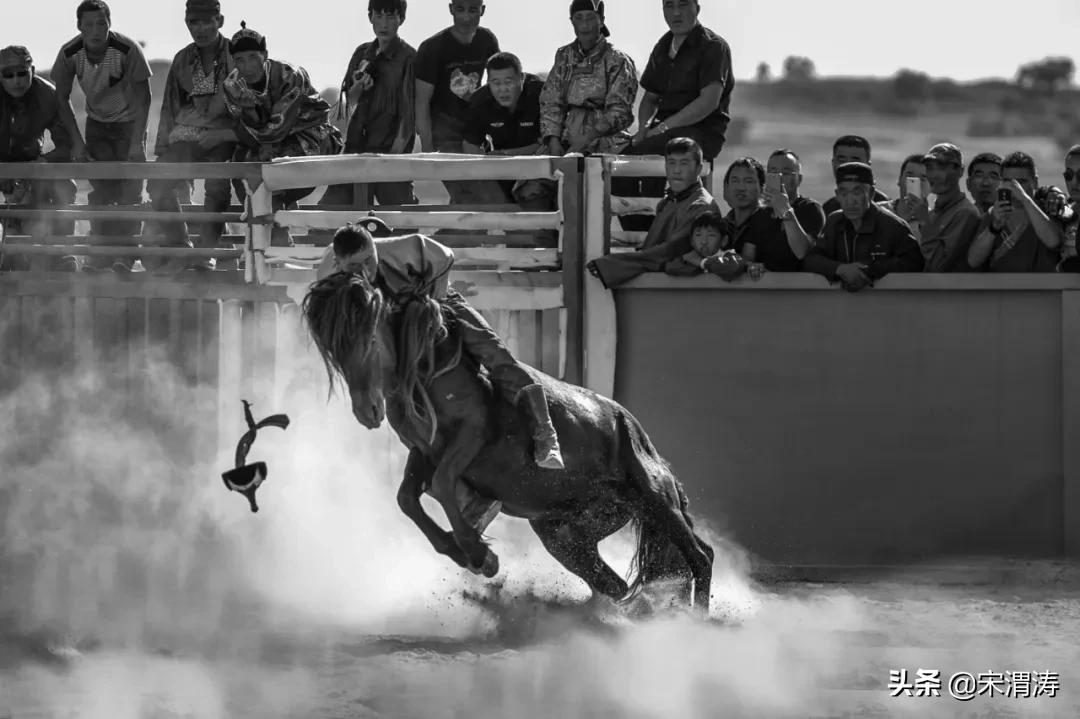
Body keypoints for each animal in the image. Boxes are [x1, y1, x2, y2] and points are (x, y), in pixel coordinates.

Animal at [302, 272, 715, 611]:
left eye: (368, 338)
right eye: (334, 349)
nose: (367, 410)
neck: (429, 363)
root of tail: (638, 436)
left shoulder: (471, 434)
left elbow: (442, 485)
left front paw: (479, 554)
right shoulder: (423, 450)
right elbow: (408, 498)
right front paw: (461, 549)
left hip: (654, 499)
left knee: (701, 556)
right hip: (565, 535)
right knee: (616, 584)